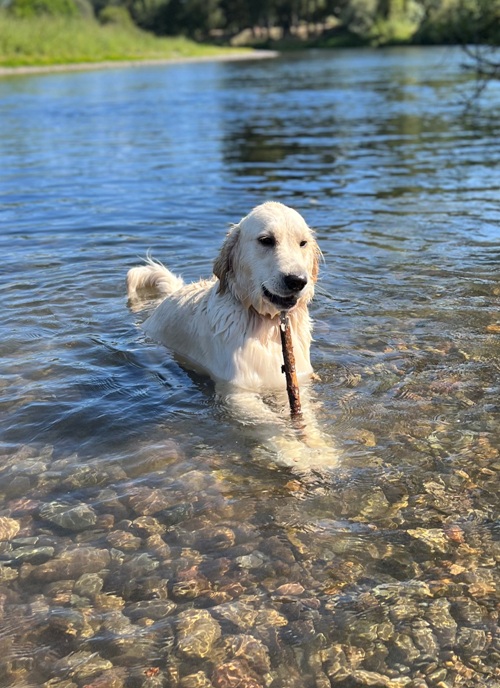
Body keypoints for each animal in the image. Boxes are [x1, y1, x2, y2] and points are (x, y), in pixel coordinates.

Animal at [127, 200, 338, 472]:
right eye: (266, 240)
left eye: (303, 243)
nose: (297, 281)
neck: (266, 323)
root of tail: (174, 292)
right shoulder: (237, 392)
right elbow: (268, 421)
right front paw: (297, 453)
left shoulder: (296, 382)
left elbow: (305, 418)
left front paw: (321, 449)